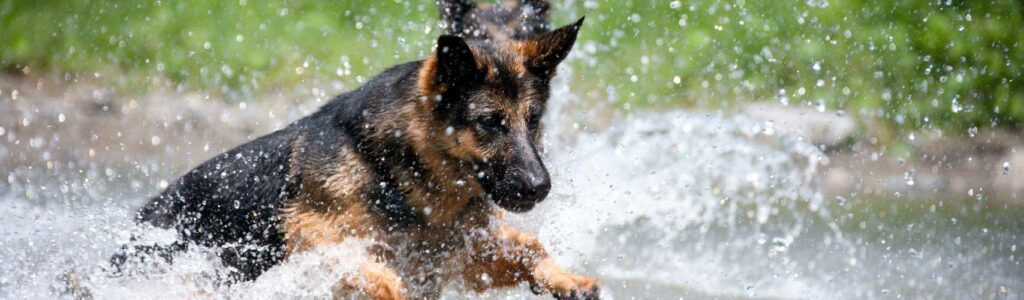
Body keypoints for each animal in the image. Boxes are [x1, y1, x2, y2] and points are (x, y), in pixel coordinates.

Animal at [110, 1, 598, 296]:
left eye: (532, 120)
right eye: (490, 123)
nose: (540, 187)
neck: (397, 172)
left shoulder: (460, 251)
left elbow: (530, 246)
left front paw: (564, 278)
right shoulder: (318, 241)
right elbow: (377, 276)